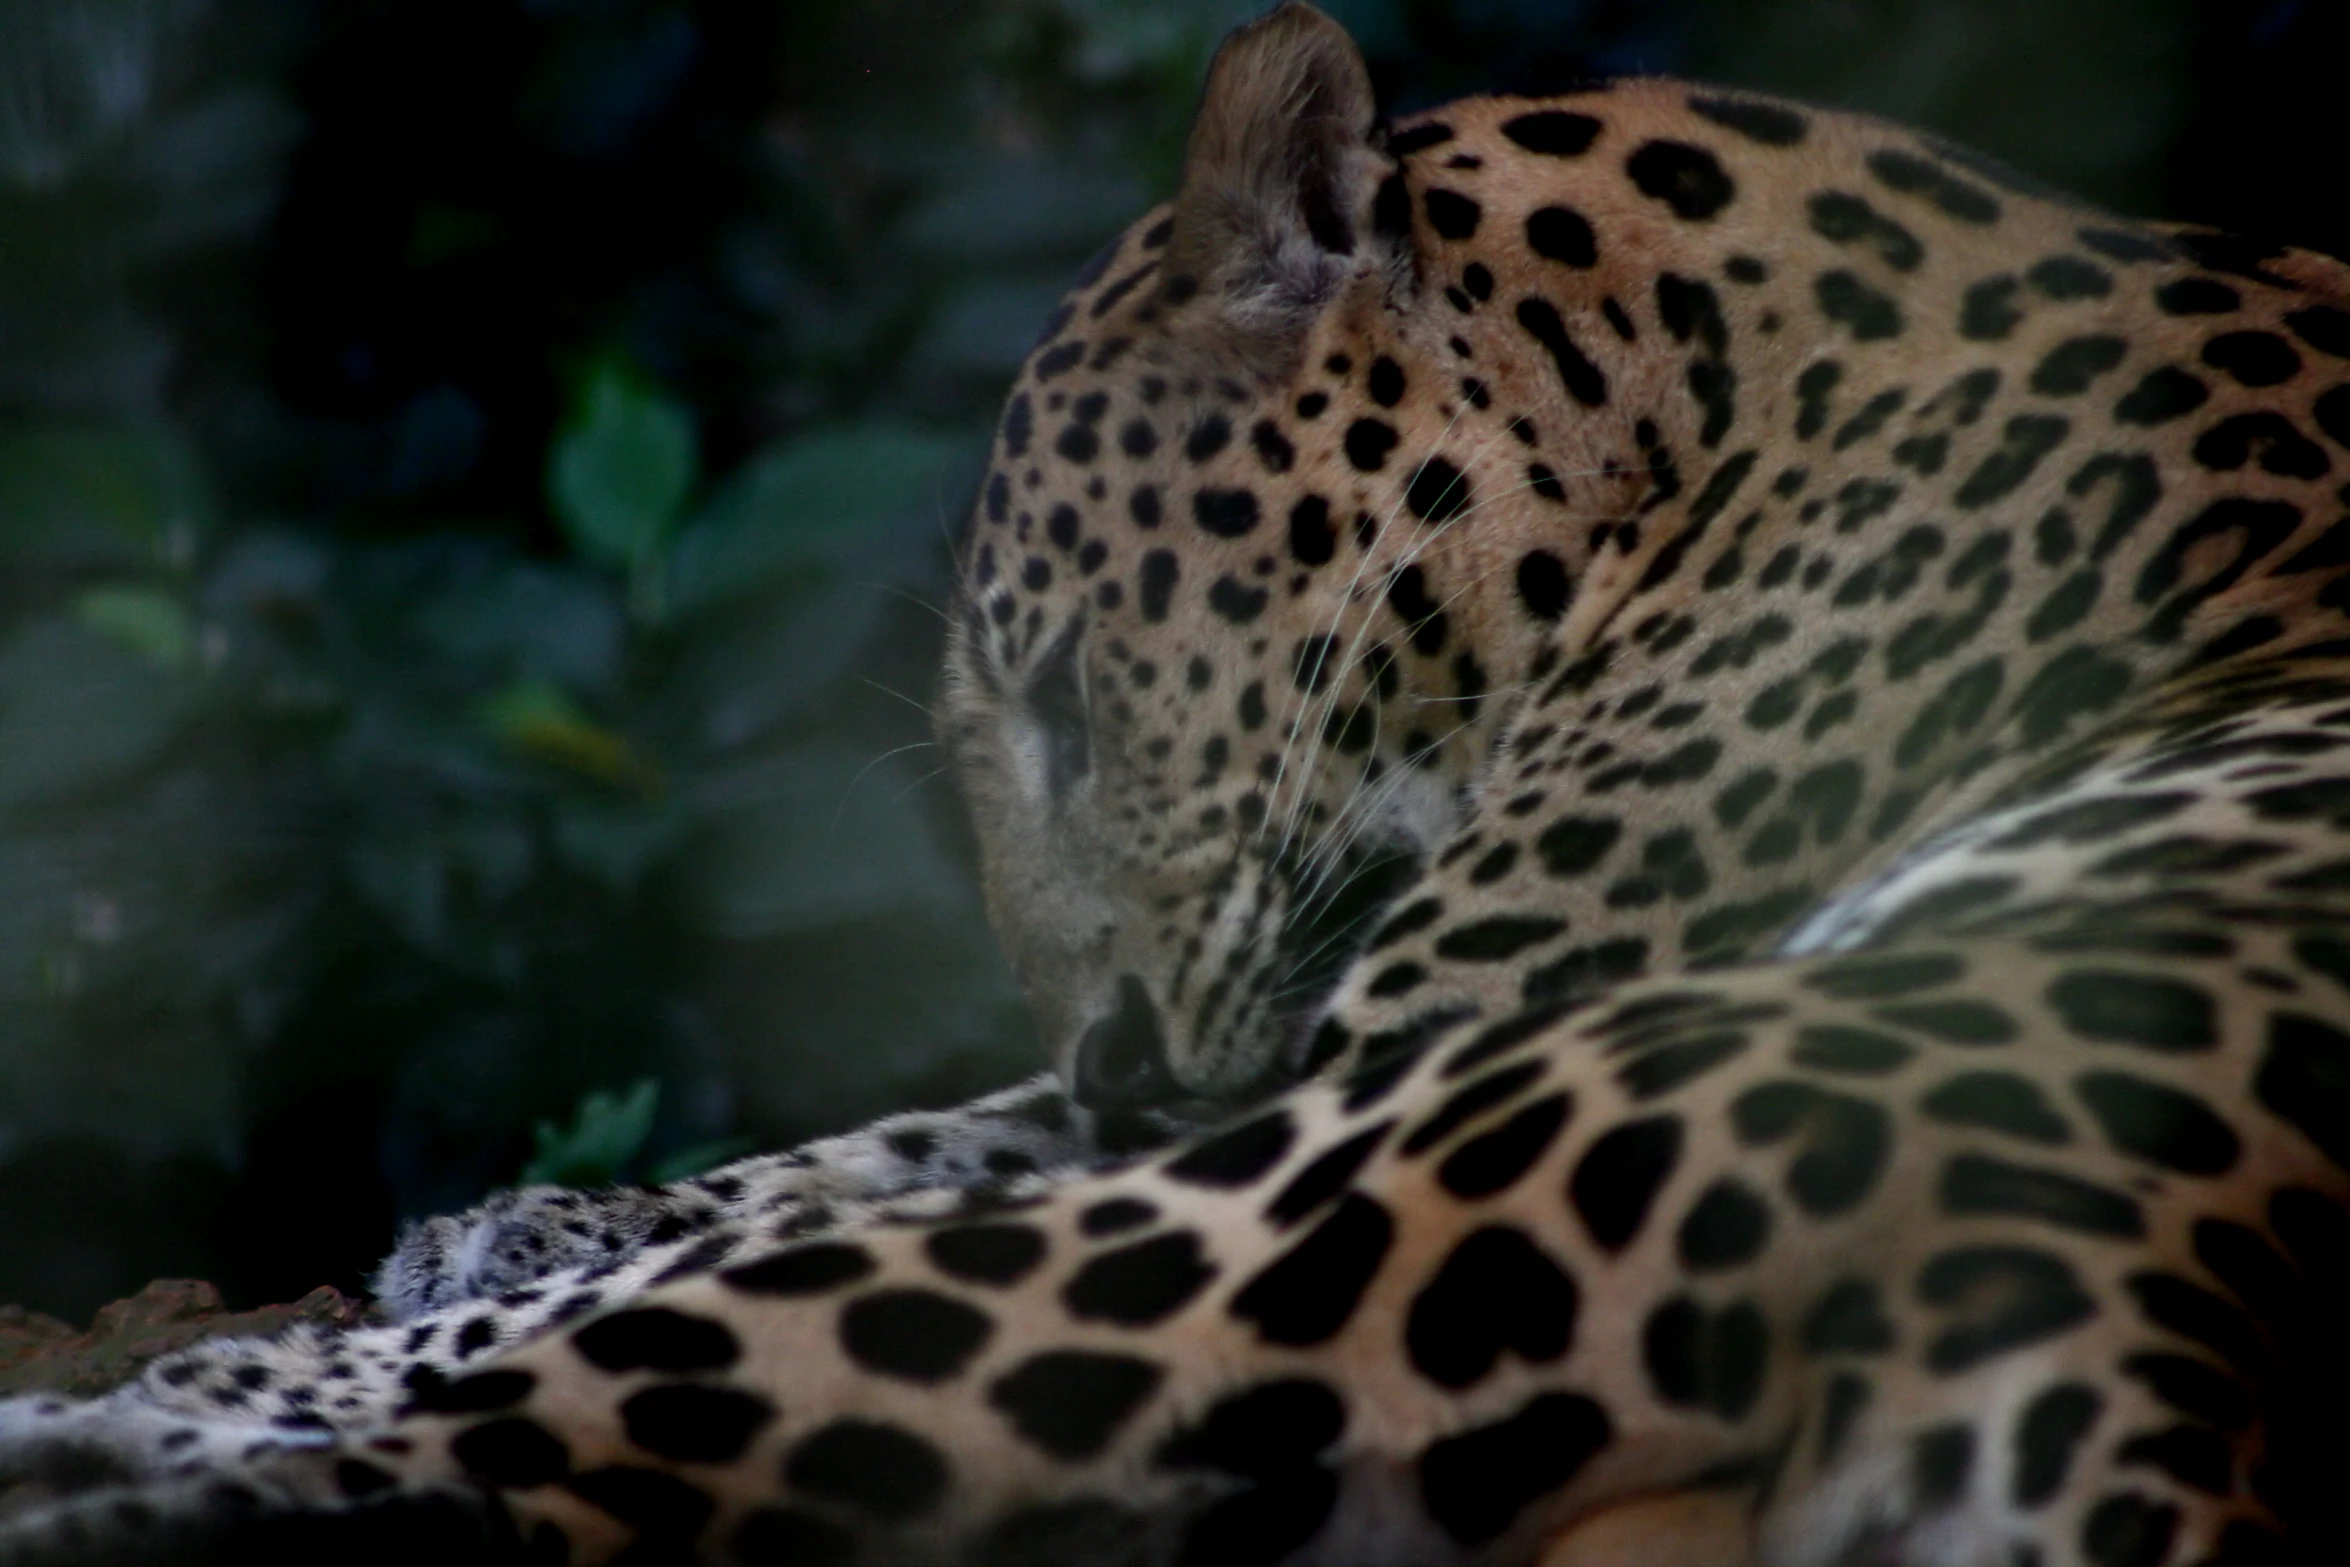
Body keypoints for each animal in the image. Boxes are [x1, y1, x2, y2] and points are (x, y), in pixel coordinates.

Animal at [4, 0, 2350, 1559]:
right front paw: (527, 1211)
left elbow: (901, 1184)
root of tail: (2189, 1323)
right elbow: (916, 1131)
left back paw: (138, 1436)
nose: (1126, 1051)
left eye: (1060, 698)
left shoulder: (1394, 1040)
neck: (1694, 418)